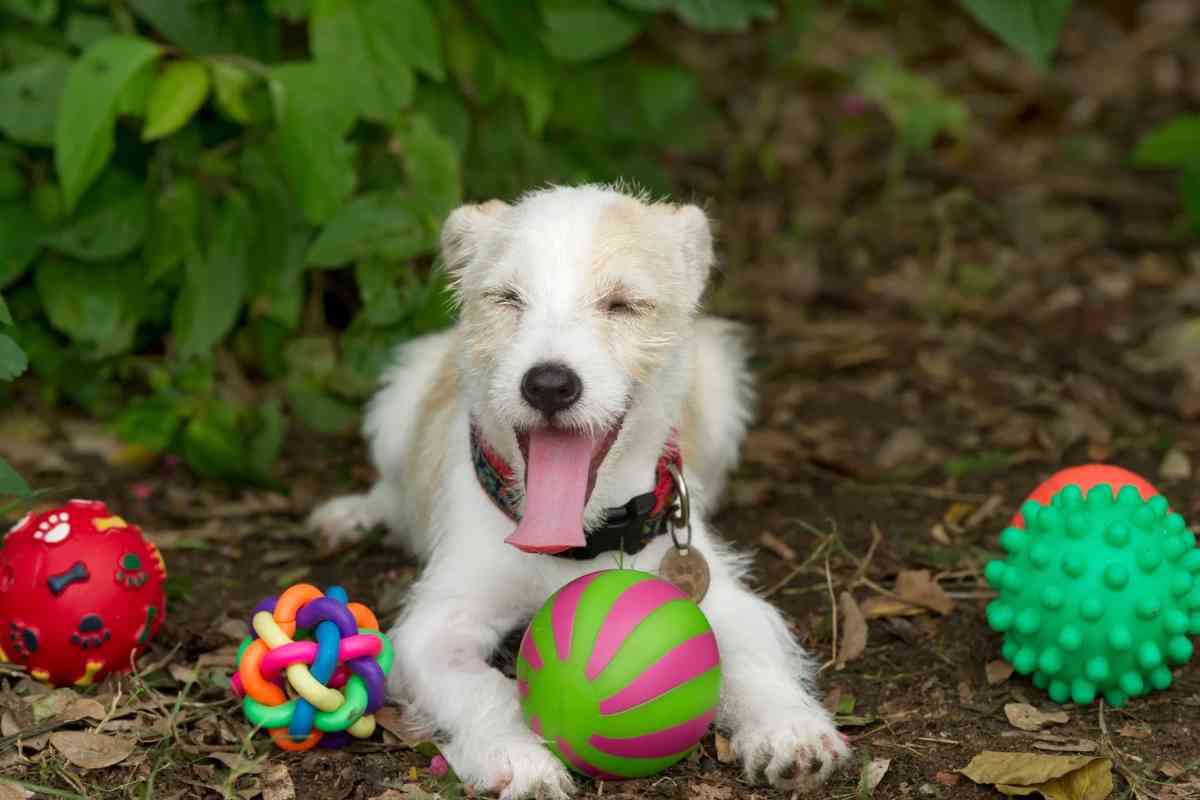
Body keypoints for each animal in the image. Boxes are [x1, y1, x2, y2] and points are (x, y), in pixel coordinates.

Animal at [309, 184, 854, 796]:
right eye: (507, 299)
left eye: (621, 305)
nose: (548, 384)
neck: (579, 536)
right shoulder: (435, 627)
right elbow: (481, 689)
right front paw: (517, 758)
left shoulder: (723, 599)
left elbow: (758, 658)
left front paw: (791, 731)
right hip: (400, 400)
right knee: (394, 489)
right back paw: (353, 514)